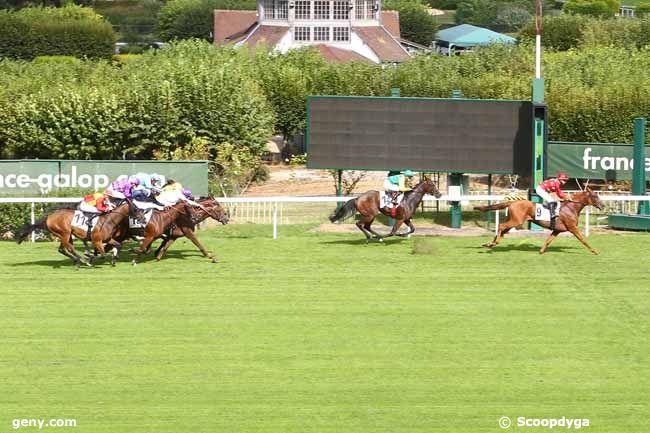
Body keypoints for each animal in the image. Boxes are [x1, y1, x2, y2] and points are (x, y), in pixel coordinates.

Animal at [470, 188, 604, 255]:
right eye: (595, 196)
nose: (602, 205)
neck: (571, 208)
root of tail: (513, 202)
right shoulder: (572, 228)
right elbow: (583, 240)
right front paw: (595, 251)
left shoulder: (557, 230)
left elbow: (548, 240)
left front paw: (541, 251)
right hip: (516, 221)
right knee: (501, 226)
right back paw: (494, 243)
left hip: (513, 221)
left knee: (502, 230)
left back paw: (489, 244)